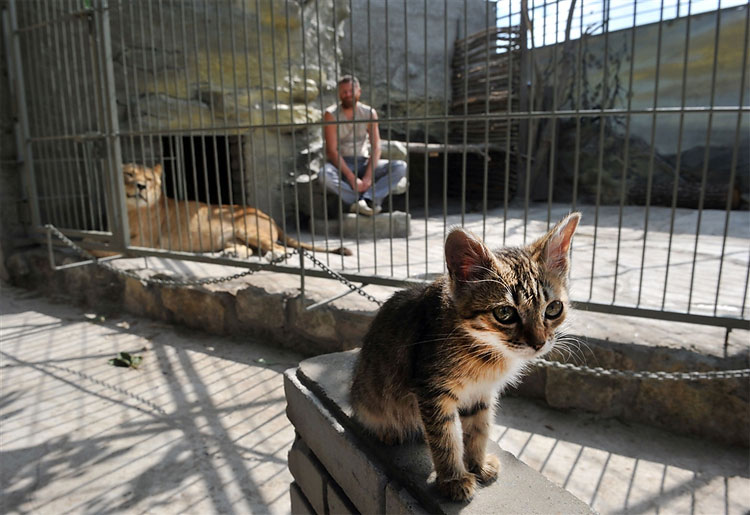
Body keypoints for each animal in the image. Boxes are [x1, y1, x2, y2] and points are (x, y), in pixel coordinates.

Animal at [115, 163, 351, 259]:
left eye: (148, 179)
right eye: (129, 174)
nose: (141, 186)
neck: (130, 210)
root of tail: (269, 217)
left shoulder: (143, 242)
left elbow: (110, 250)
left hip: (248, 230)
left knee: (278, 248)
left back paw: (273, 256)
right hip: (231, 236)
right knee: (251, 249)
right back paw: (233, 253)